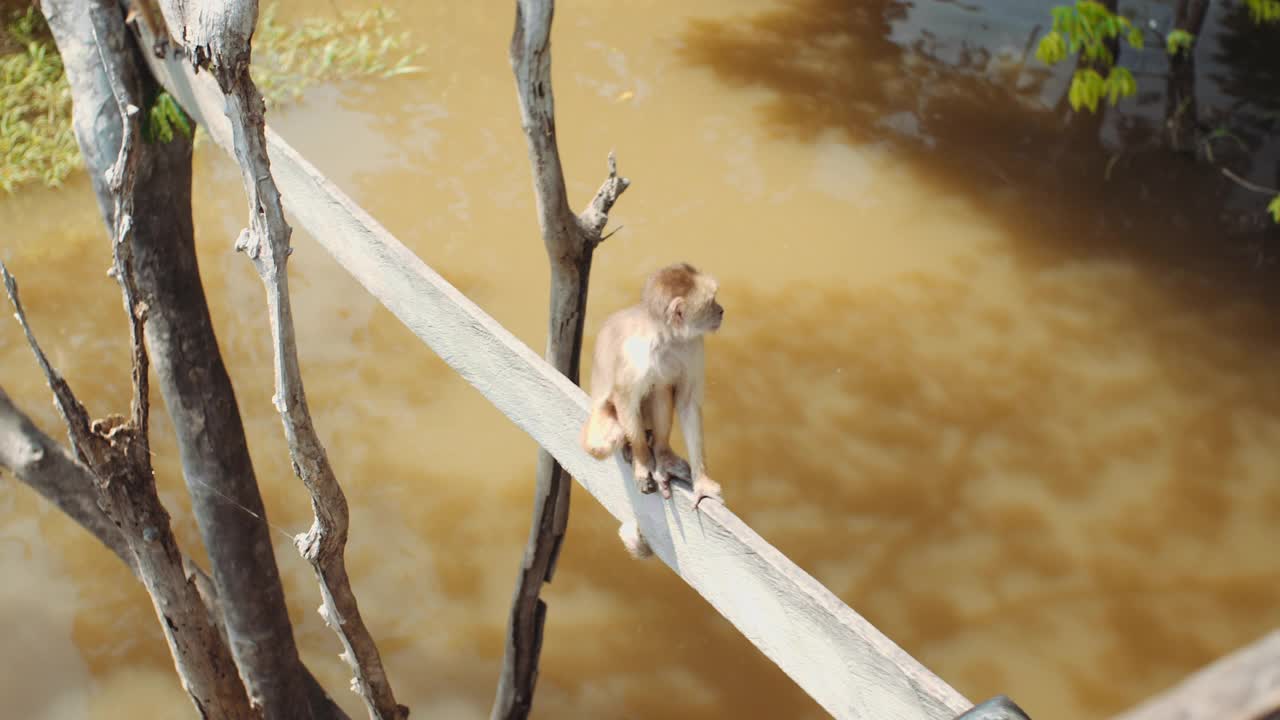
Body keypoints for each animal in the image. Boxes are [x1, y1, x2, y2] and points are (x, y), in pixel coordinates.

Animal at [583, 262, 727, 556]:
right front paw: (641, 460)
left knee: (660, 386)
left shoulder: (692, 344)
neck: (667, 338)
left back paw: (662, 454)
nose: (721, 310)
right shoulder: (636, 354)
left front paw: (701, 482)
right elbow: (625, 397)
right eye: (711, 302)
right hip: (601, 417)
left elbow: (686, 403)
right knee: (605, 437)